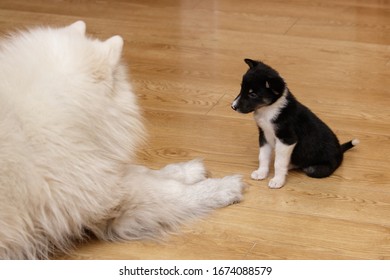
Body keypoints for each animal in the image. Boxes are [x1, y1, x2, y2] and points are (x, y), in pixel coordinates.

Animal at [0, 20, 244, 260]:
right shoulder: (99, 194)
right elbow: (171, 192)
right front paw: (224, 187)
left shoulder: (97, 175)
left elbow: (144, 171)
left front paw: (187, 171)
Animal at [232, 58, 360, 188]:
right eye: (242, 89)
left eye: (252, 94)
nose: (233, 107)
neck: (269, 109)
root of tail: (340, 151)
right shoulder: (264, 135)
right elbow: (263, 156)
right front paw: (261, 173)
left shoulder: (287, 139)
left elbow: (279, 163)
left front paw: (277, 180)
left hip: (315, 169)